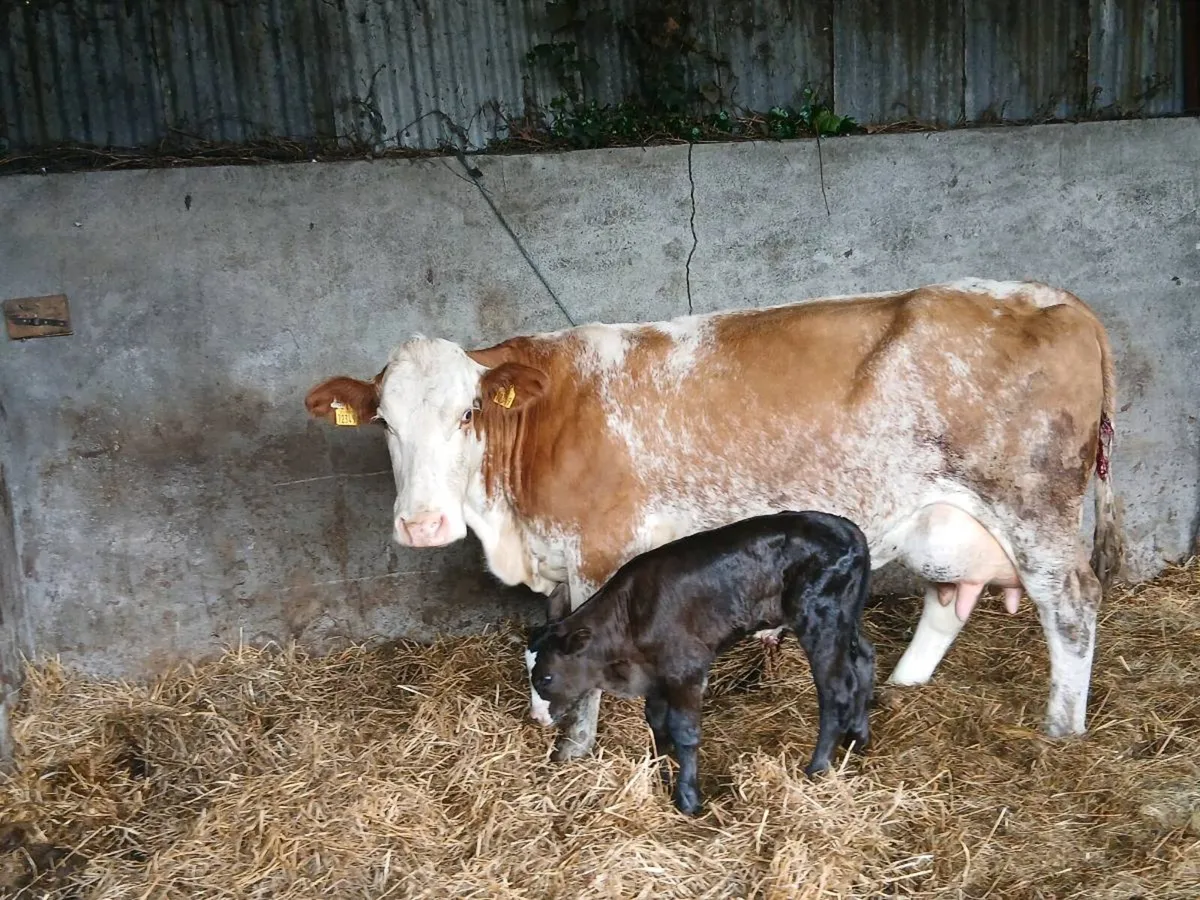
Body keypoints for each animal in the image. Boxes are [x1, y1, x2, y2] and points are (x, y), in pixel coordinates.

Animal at [305, 278, 1123, 762]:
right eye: (384, 422)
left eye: (468, 412)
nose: (422, 525)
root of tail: (1052, 297)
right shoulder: (557, 553)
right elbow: (548, 629)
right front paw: (545, 709)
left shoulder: (601, 549)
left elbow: (582, 643)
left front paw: (576, 752)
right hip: (947, 520)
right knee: (950, 600)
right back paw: (902, 684)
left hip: (1033, 503)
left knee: (1073, 606)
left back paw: (1061, 730)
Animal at [525, 510, 876, 815]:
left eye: (546, 678)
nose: (536, 717)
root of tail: (849, 529)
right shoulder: (656, 676)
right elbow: (657, 724)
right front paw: (661, 775)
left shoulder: (687, 670)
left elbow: (685, 731)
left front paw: (688, 799)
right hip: (846, 619)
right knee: (864, 660)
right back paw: (858, 738)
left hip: (821, 619)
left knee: (836, 691)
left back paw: (817, 769)